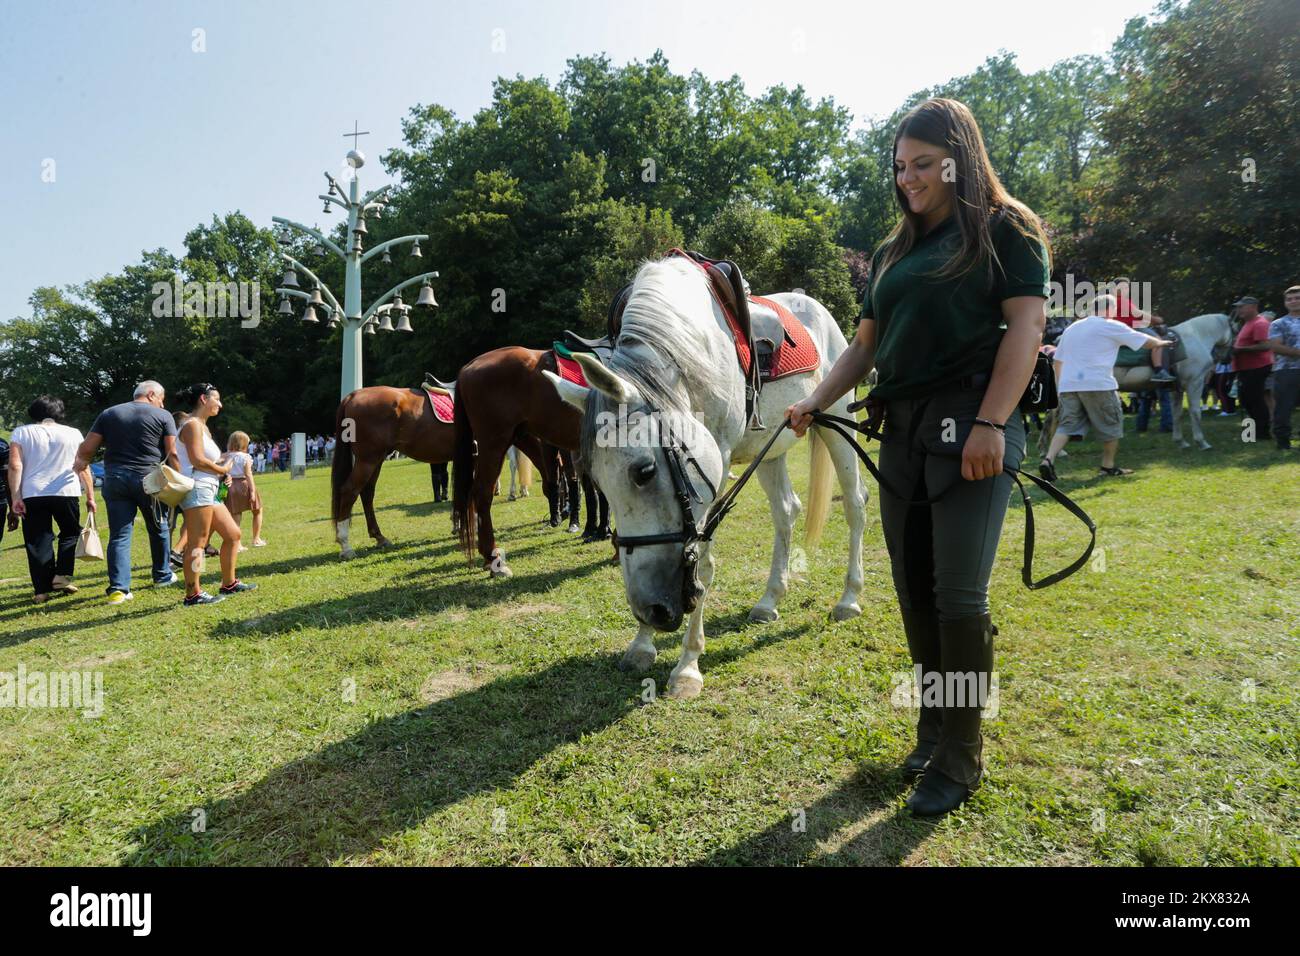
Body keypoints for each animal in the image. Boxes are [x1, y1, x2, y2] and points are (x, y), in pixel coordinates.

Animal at [332, 385, 460, 556]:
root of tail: (353, 395)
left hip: (376, 460)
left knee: (366, 493)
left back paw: (379, 537)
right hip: (367, 460)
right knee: (350, 491)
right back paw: (346, 546)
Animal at [543, 257, 868, 697]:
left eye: (644, 472)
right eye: (597, 479)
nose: (652, 609)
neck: (691, 353)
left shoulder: (717, 468)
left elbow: (704, 564)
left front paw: (687, 666)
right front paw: (642, 643)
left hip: (838, 422)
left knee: (855, 505)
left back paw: (849, 598)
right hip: (771, 446)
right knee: (786, 511)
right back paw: (770, 599)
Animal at [1112, 312, 1232, 450]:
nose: (1227, 359)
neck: (1196, 336)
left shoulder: (1176, 389)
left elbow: (1176, 413)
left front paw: (1181, 442)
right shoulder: (1195, 383)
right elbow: (1195, 412)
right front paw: (1202, 442)